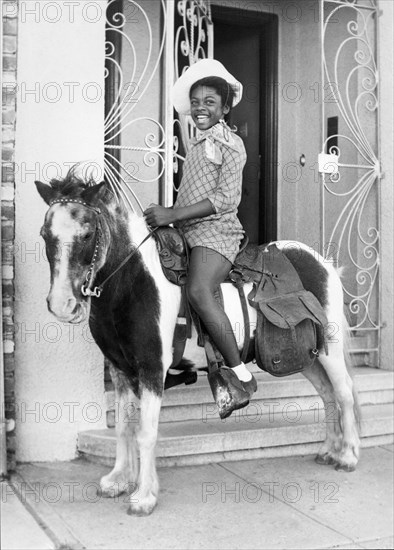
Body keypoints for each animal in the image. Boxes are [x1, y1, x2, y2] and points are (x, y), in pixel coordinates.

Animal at [35, 174, 362, 516]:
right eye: (45, 234)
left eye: (87, 234)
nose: (62, 305)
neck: (132, 281)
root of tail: (324, 263)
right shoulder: (120, 370)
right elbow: (125, 427)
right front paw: (118, 480)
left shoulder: (152, 370)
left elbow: (146, 433)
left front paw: (144, 496)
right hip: (308, 356)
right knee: (326, 394)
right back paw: (327, 450)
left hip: (329, 348)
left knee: (343, 393)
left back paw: (347, 456)